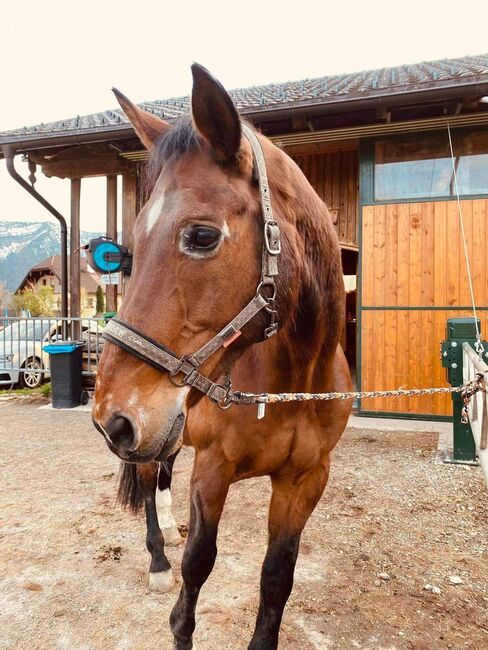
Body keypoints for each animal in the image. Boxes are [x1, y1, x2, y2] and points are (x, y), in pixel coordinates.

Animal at [92, 64, 350, 648]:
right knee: (148, 484)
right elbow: (198, 566)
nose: (110, 417)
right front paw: (176, 594)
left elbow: (277, 579)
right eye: (130, 251)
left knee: (161, 473)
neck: (295, 382)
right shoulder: (213, 469)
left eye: (202, 235)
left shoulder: (306, 480)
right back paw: (157, 558)